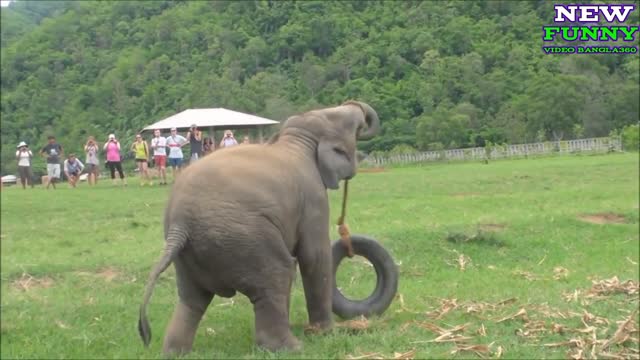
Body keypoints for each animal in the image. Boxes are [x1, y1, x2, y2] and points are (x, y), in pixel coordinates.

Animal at [139, 100, 380, 356]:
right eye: (349, 124)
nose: (355, 104)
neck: (295, 140)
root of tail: (180, 224)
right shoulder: (313, 197)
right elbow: (314, 256)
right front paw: (325, 333)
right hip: (244, 237)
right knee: (278, 273)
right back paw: (290, 348)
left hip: (190, 254)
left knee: (192, 299)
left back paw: (175, 352)